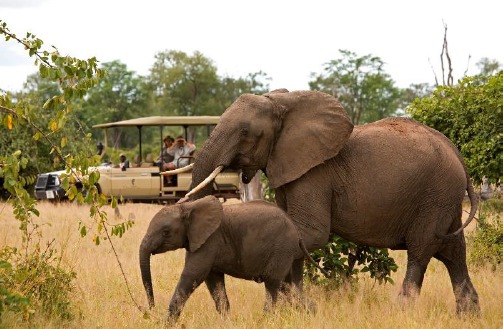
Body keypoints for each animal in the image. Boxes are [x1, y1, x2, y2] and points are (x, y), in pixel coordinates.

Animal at [140, 195, 324, 318]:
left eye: (165, 232)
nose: (151, 308)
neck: (188, 206)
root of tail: (297, 232)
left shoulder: (210, 240)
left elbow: (193, 275)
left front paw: (165, 323)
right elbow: (213, 281)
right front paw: (226, 321)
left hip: (281, 248)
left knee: (273, 283)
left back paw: (266, 319)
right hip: (288, 253)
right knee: (288, 285)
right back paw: (311, 312)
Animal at [185, 89, 480, 312]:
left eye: (245, 132)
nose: (225, 311)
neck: (283, 102)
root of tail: (457, 153)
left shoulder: (315, 173)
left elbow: (310, 233)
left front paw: (299, 307)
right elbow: (293, 235)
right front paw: (298, 309)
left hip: (436, 194)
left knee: (421, 250)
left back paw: (402, 311)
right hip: (444, 198)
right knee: (454, 253)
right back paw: (468, 314)